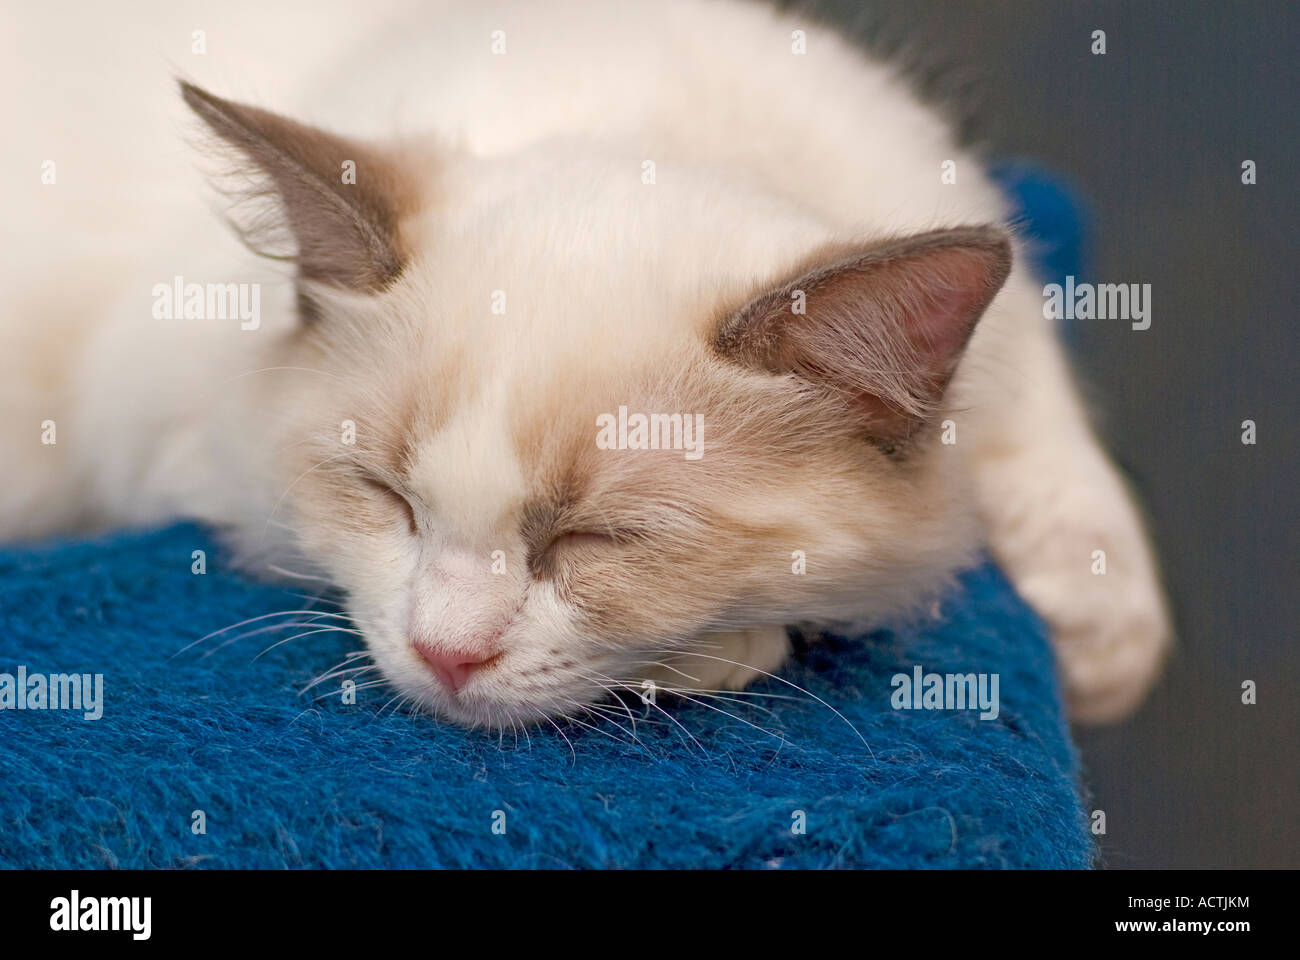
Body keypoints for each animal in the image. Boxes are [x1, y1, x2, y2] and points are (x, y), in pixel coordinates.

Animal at [0, 0, 1175, 723]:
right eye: (388, 501)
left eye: (596, 540)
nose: (446, 657)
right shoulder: (177, 452)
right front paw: (722, 653)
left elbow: (1040, 423)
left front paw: (1102, 645)